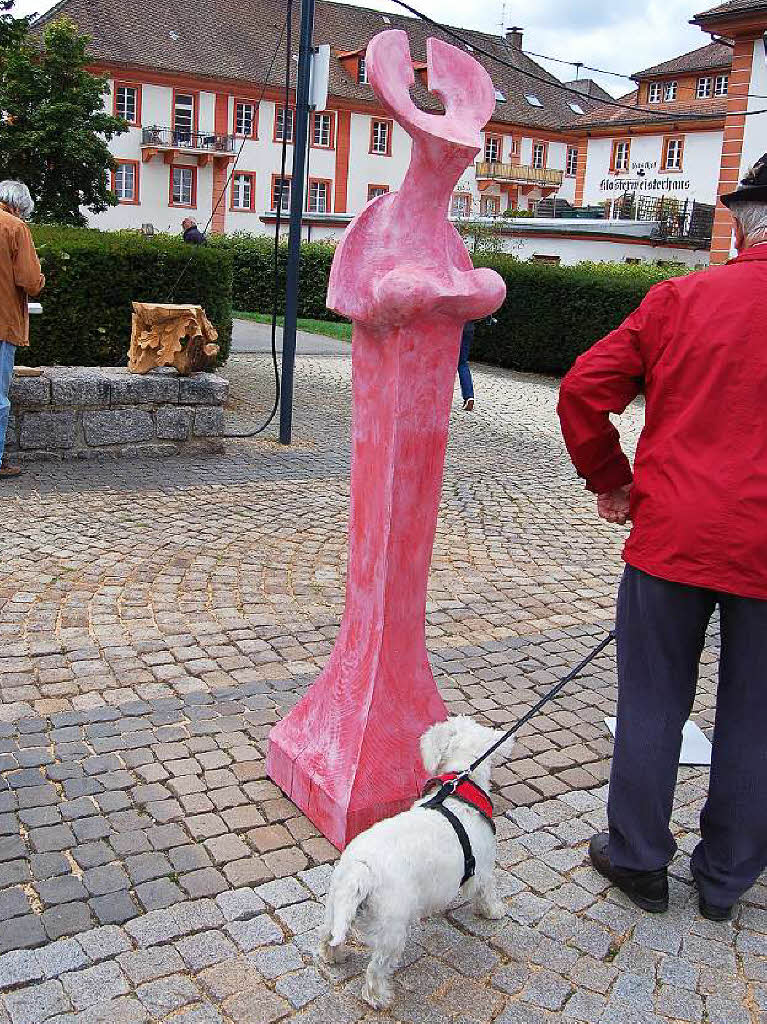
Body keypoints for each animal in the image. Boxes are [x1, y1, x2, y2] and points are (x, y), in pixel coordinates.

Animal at [319, 716, 514, 1011]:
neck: (460, 790)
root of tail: (361, 870)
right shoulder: (481, 870)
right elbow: (487, 891)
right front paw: (495, 911)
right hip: (392, 927)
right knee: (376, 969)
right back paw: (380, 998)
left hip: (335, 904)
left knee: (328, 936)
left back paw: (334, 958)